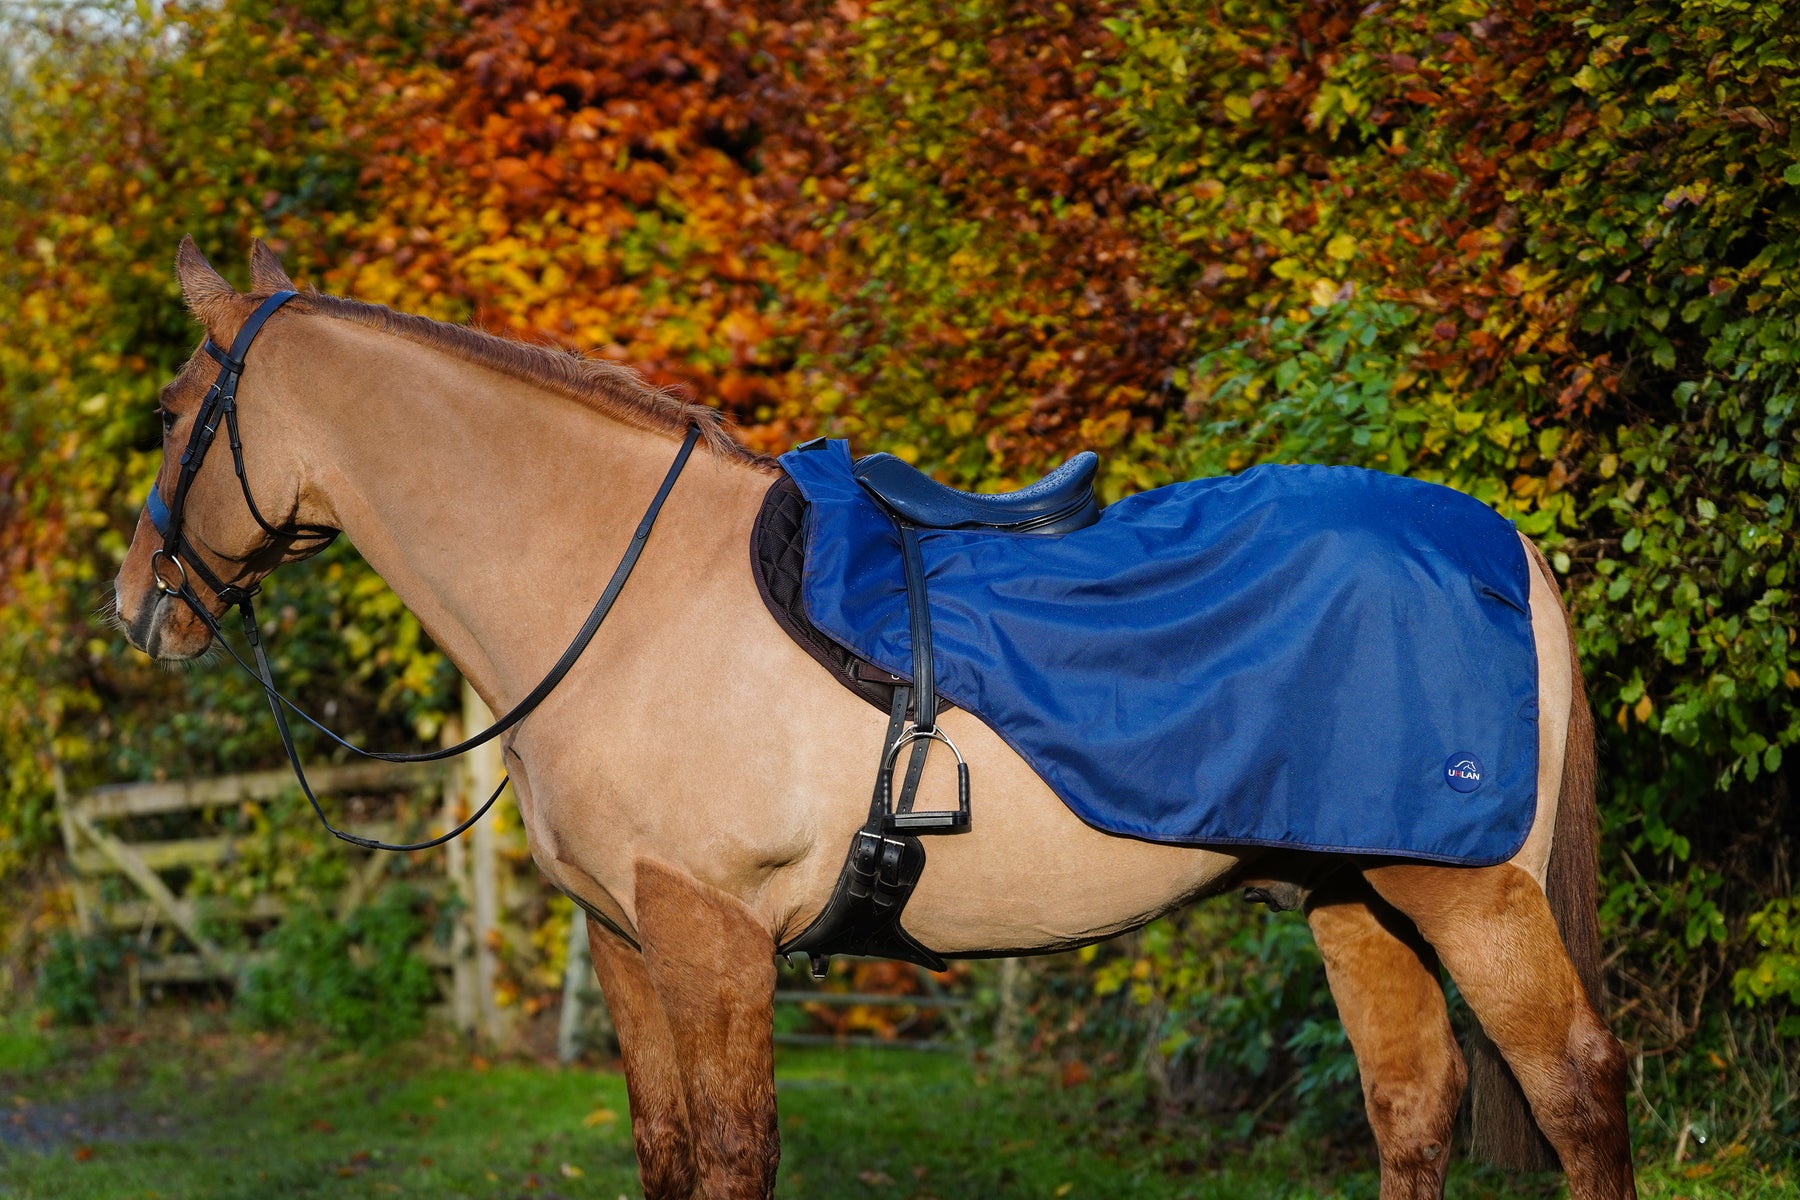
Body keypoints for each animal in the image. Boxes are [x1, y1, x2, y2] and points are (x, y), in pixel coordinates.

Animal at [112, 239, 1637, 1200]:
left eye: (179, 410)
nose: (137, 607)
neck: (624, 589)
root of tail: (1502, 542)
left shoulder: (716, 940)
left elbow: (734, 1157)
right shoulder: (627, 941)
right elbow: (665, 1152)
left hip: (1470, 896)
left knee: (1577, 1090)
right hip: (1356, 895)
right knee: (1413, 1110)